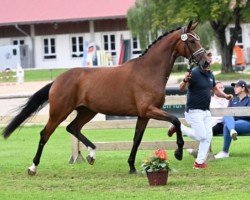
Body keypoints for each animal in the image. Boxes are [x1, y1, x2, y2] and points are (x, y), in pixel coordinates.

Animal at [1, 21, 209, 175]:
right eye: (191, 41)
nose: (206, 62)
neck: (149, 71)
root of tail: (58, 80)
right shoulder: (149, 110)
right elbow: (176, 121)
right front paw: (178, 152)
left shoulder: (144, 115)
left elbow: (137, 139)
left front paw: (132, 166)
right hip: (59, 112)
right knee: (45, 134)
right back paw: (32, 167)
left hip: (87, 111)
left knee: (72, 128)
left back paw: (92, 154)